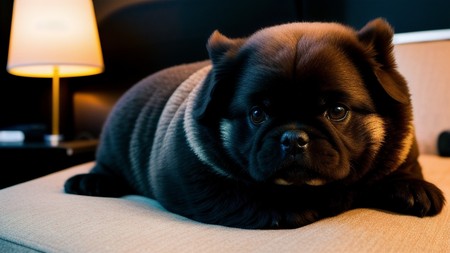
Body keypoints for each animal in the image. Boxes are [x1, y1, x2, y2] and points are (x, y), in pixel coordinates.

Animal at [65, 18, 444, 228]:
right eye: (257, 114)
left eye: (337, 111)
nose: (293, 138)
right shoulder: (197, 183)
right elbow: (245, 197)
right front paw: (298, 207)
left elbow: (405, 171)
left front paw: (413, 188)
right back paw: (90, 181)